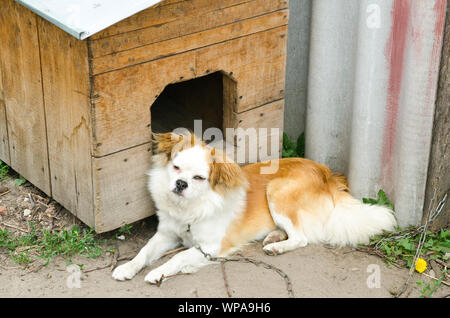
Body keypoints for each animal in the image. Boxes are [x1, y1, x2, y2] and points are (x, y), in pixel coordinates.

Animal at [113, 132, 398, 284]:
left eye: (199, 178)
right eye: (176, 168)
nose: (181, 183)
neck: (189, 207)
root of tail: (327, 174)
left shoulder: (210, 247)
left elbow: (178, 257)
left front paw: (158, 272)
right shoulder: (166, 234)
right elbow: (143, 251)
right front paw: (127, 268)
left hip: (277, 191)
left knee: (302, 238)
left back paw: (277, 246)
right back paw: (273, 236)